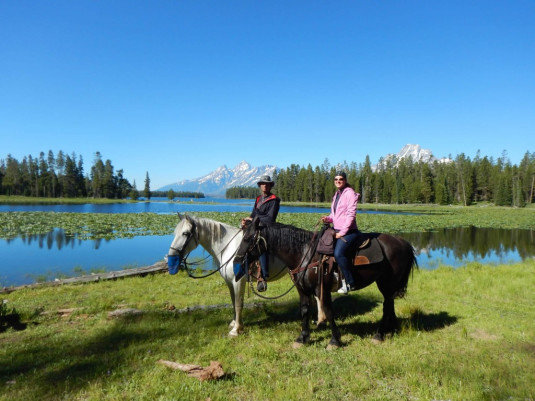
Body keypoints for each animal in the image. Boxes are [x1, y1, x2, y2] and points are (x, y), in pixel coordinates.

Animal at [168, 214, 326, 336]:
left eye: (185, 233)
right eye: (175, 233)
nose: (171, 257)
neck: (228, 248)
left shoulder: (238, 281)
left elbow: (239, 304)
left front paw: (236, 330)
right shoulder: (229, 282)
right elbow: (233, 302)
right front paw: (233, 323)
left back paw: (319, 320)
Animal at [234, 219, 418, 346]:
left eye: (249, 238)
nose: (237, 260)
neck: (305, 254)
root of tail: (402, 242)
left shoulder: (322, 289)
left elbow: (328, 312)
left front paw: (335, 340)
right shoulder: (303, 290)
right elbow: (305, 311)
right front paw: (302, 338)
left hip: (386, 283)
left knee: (386, 306)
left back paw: (379, 335)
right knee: (390, 304)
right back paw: (390, 330)